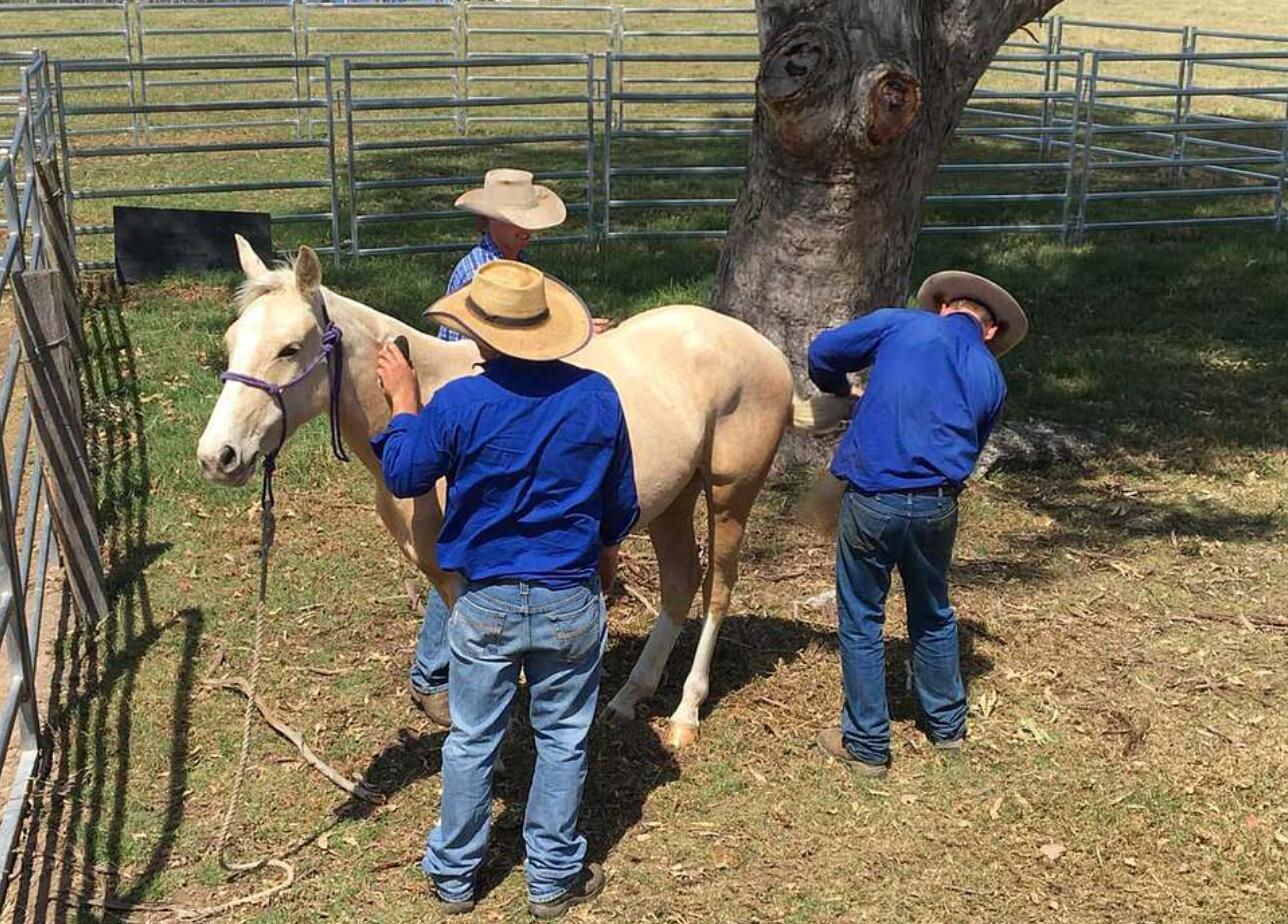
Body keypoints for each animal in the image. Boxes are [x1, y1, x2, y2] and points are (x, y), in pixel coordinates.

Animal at [197, 240, 793, 747]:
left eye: (289, 348)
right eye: (230, 342)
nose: (216, 456)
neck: (422, 402)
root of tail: (765, 348)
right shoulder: (446, 579)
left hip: (730, 497)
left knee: (717, 590)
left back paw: (685, 715)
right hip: (674, 501)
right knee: (679, 582)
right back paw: (628, 699)